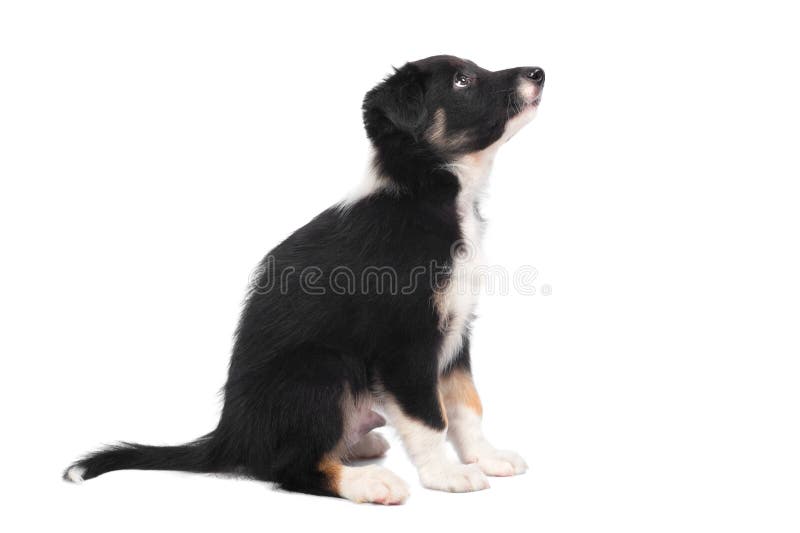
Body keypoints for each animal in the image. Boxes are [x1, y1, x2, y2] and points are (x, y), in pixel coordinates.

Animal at [65, 56, 548, 504]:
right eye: (462, 80)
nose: (539, 72)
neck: (428, 194)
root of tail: (229, 437)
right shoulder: (406, 343)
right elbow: (430, 416)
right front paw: (446, 475)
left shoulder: (456, 330)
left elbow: (466, 405)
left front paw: (486, 456)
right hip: (323, 369)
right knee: (289, 468)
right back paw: (367, 482)